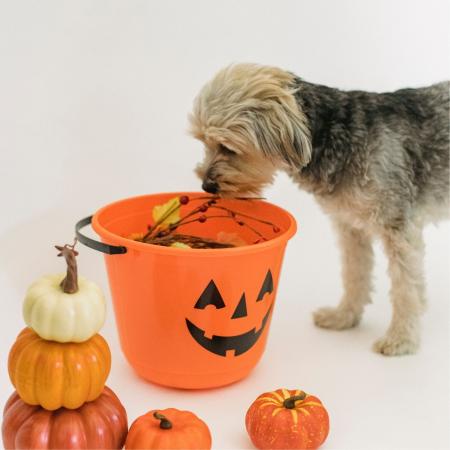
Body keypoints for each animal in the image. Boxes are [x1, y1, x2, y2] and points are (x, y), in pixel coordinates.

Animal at [188, 63, 448, 356]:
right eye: (203, 142)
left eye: (227, 147)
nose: (207, 185)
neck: (336, 135)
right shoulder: (350, 227)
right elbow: (354, 274)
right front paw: (344, 317)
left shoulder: (399, 229)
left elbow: (406, 289)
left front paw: (402, 339)